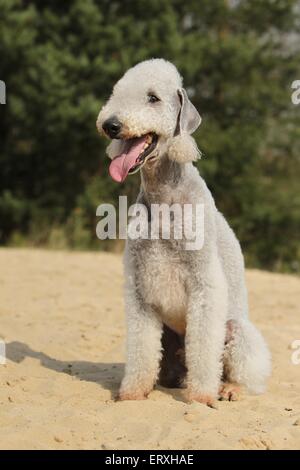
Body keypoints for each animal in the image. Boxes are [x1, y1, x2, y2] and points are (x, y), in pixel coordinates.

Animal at [97, 57, 270, 404]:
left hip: (237, 330)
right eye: (117, 92)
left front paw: (202, 397)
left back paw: (228, 389)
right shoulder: (139, 285)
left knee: (240, 368)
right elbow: (141, 347)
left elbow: (204, 346)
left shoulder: (205, 283)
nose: (111, 125)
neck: (165, 196)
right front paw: (132, 393)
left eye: (153, 98)